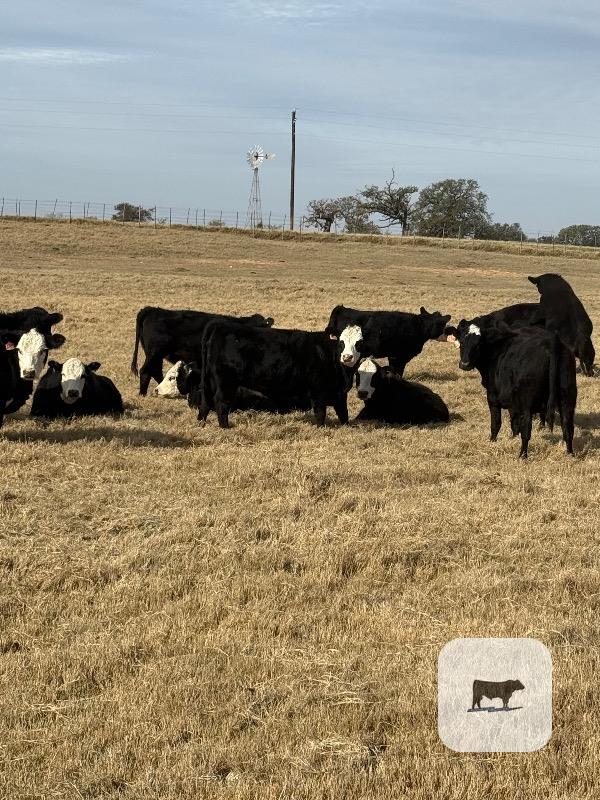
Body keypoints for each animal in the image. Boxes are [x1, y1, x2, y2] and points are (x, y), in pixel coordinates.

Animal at [130, 306, 275, 395]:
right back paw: (143, 393)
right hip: (154, 353)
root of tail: (151, 310)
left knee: (155, 371)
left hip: (157, 354)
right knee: (145, 371)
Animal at [198, 320, 353, 428]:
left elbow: (343, 412)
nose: (348, 357)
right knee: (221, 402)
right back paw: (225, 427)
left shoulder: (340, 393)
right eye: (341, 342)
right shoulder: (319, 390)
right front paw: (321, 428)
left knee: (205, 401)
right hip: (226, 382)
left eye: (357, 342)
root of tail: (220, 325)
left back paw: (201, 423)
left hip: (210, 381)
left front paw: (347, 426)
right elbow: (321, 412)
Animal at [446, 319, 576, 458]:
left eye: (478, 344)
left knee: (527, 430)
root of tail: (552, 343)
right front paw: (513, 438)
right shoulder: (513, 401)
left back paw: (522, 455)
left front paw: (492, 441)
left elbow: (496, 423)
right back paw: (570, 454)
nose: (465, 364)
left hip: (528, 403)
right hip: (567, 398)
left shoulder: (493, 398)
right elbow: (514, 422)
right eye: (462, 341)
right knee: (567, 428)